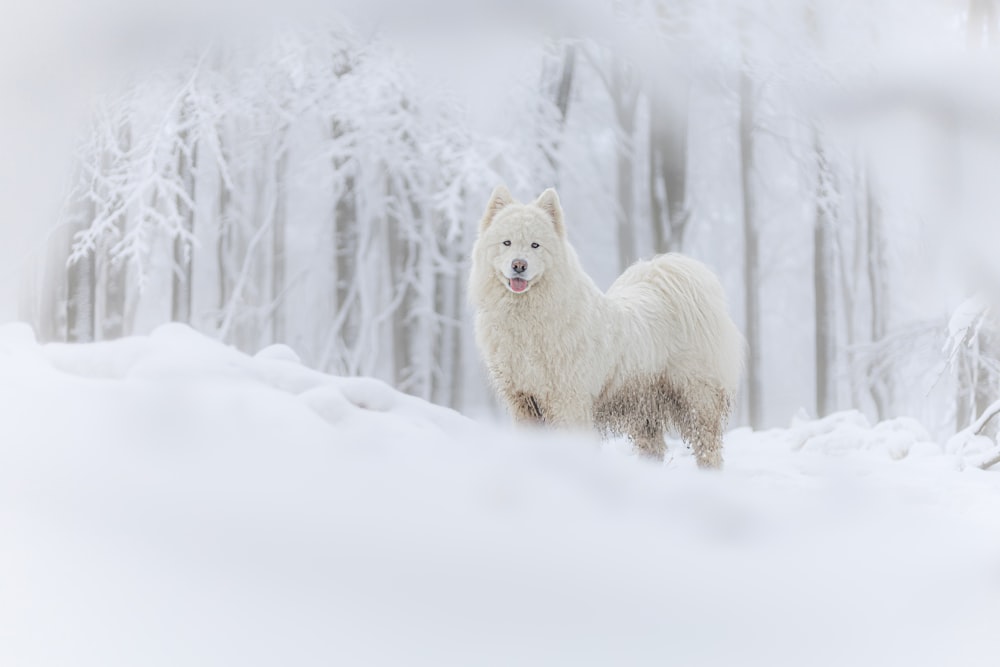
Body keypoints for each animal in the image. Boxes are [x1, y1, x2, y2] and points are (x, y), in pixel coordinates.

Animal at [472, 185, 748, 468]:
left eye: (535, 245)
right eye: (506, 243)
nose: (519, 265)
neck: (528, 317)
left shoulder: (567, 400)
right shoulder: (523, 399)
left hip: (696, 398)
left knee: (708, 446)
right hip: (643, 405)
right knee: (654, 447)